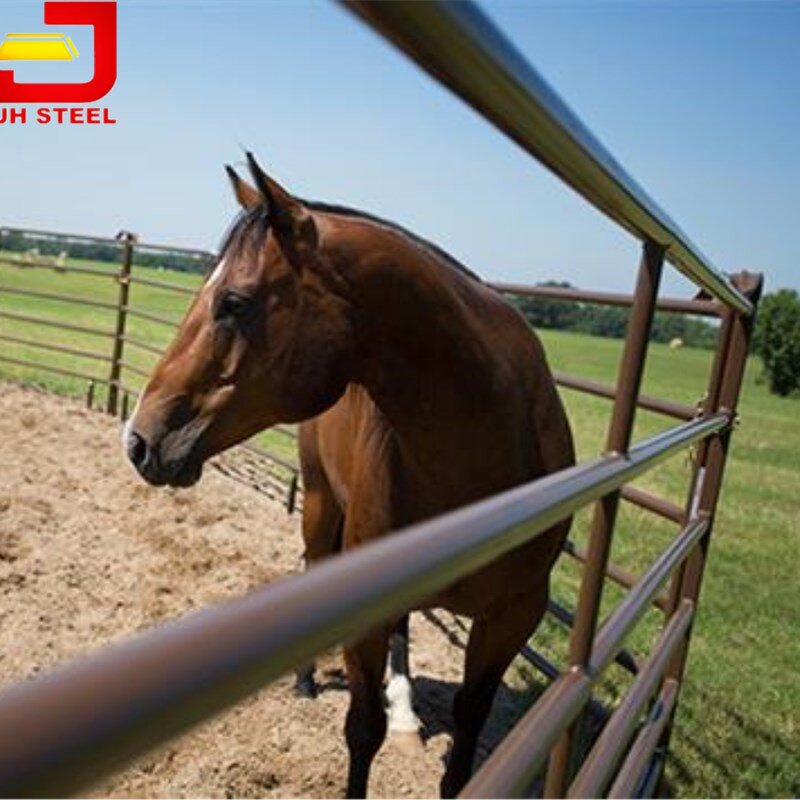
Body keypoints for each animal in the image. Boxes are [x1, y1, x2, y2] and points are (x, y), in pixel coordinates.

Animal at [123, 153, 575, 798]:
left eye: (234, 302)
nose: (139, 438)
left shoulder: (513, 617)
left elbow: (467, 731)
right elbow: (362, 730)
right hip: (318, 502)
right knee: (315, 565)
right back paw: (309, 679)